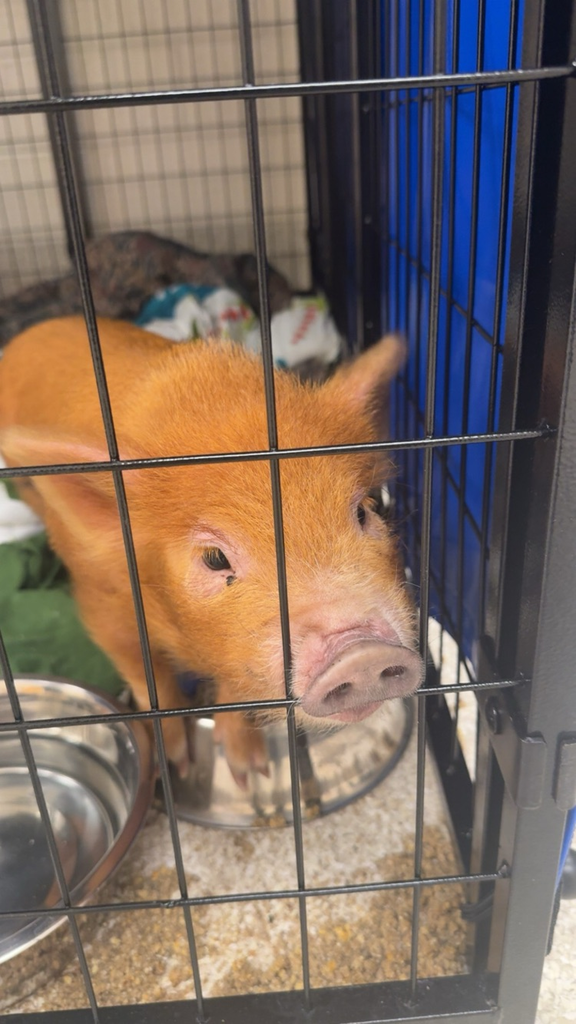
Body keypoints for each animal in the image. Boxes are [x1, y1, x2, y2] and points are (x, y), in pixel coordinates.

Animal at [0, 317, 424, 785]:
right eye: (214, 558)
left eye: (365, 511)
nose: (362, 652)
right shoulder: (103, 604)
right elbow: (148, 676)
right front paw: (175, 767)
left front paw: (250, 775)